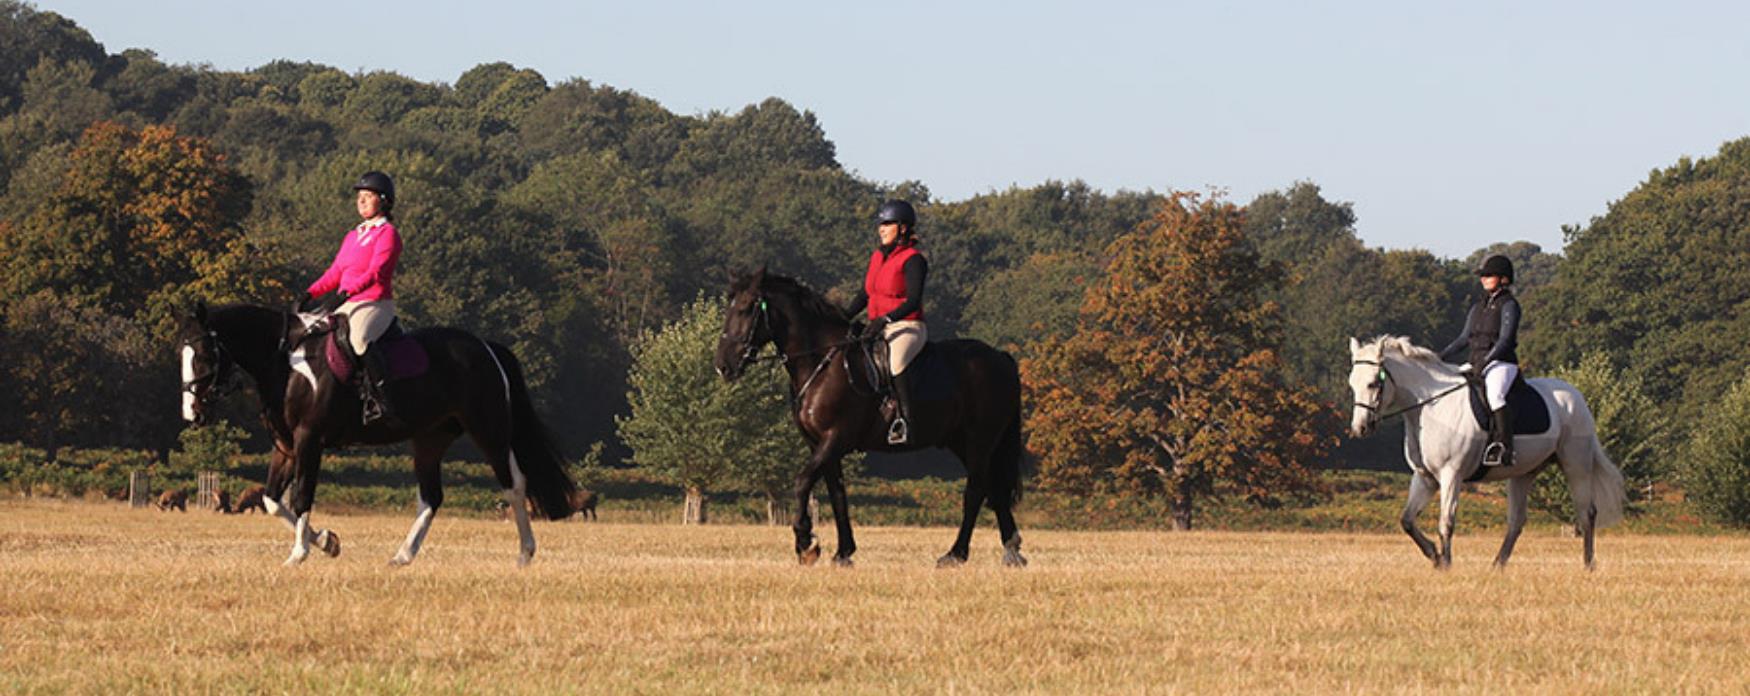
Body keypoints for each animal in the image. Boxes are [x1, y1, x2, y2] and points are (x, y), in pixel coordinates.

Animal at [184, 302, 581, 566]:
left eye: (203, 356)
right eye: (183, 355)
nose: (193, 413)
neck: (288, 364)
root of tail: (485, 347)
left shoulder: (309, 441)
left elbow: (300, 497)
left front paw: (299, 554)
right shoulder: (285, 446)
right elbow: (271, 500)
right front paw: (328, 542)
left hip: (489, 430)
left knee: (514, 485)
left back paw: (525, 554)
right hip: (429, 439)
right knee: (431, 496)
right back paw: (402, 556)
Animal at [707, 269, 1022, 566]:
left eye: (747, 308)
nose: (723, 366)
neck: (821, 363)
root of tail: (1000, 357)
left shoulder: (835, 439)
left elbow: (802, 481)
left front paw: (806, 543)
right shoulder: (819, 444)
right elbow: (837, 494)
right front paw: (842, 552)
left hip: (979, 440)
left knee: (976, 491)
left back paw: (956, 554)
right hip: (962, 442)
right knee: (993, 489)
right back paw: (1012, 549)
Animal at [1351, 334, 1624, 566]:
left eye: (1373, 384)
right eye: (1352, 384)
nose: (1360, 428)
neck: (1431, 406)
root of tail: (1577, 396)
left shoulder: (1452, 475)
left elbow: (1446, 522)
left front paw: (1445, 563)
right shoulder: (1425, 478)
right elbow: (1407, 520)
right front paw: (1434, 555)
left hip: (1576, 464)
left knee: (1586, 512)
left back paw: (1588, 564)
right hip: (1523, 473)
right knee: (1517, 520)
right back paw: (1497, 565)